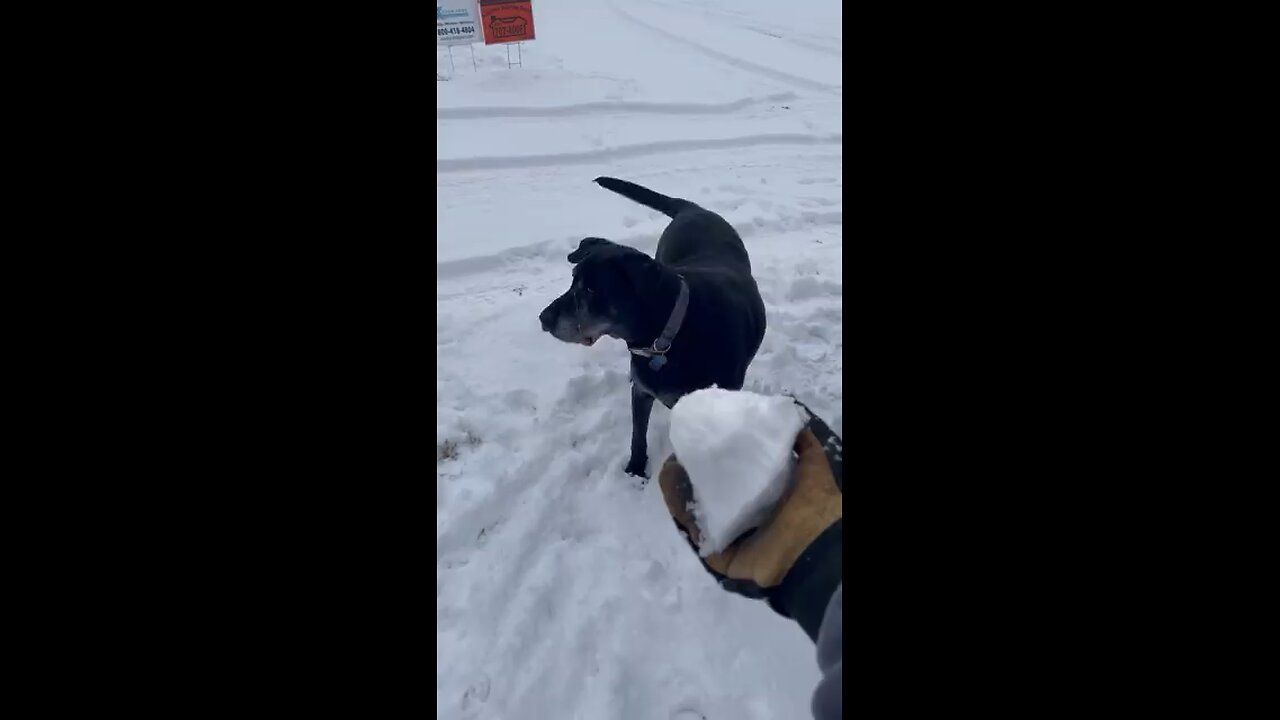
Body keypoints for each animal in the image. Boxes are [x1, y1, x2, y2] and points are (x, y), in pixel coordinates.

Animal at [535, 175, 762, 476]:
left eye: (591, 289)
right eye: (573, 280)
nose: (543, 319)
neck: (669, 336)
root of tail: (694, 209)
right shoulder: (642, 391)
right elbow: (637, 434)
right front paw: (635, 468)